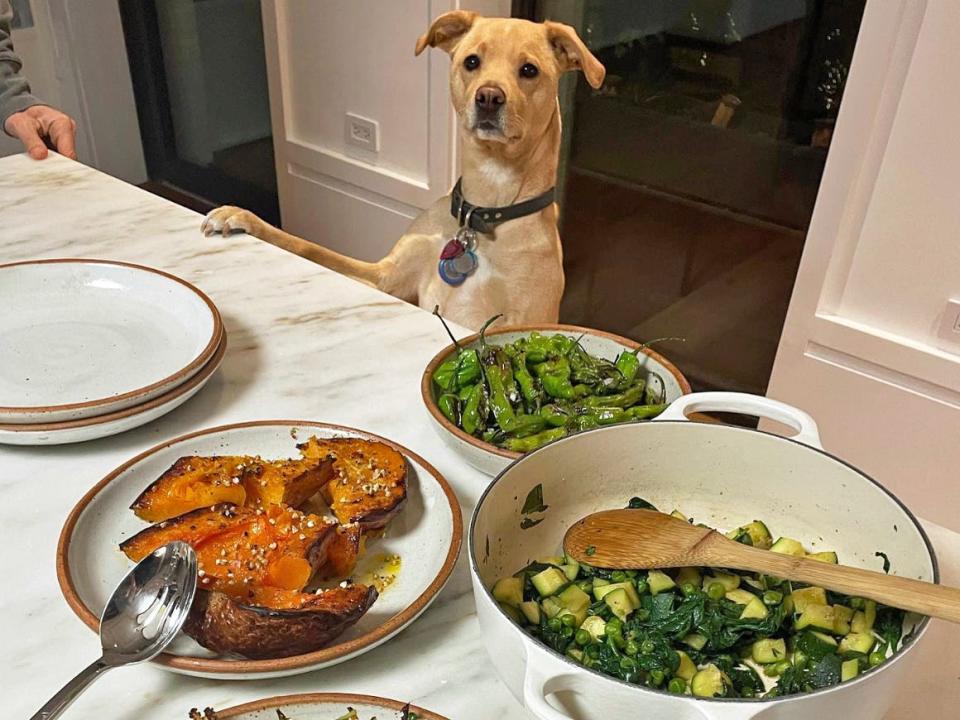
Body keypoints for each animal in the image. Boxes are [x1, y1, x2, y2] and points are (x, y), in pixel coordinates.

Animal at [202, 11, 604, 330]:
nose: (489, 97)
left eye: (529, 70)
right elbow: (309, 247)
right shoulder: (384, 277)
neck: (482, 213)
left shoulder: (517, 317)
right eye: (471, 61)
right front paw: (243, 217)